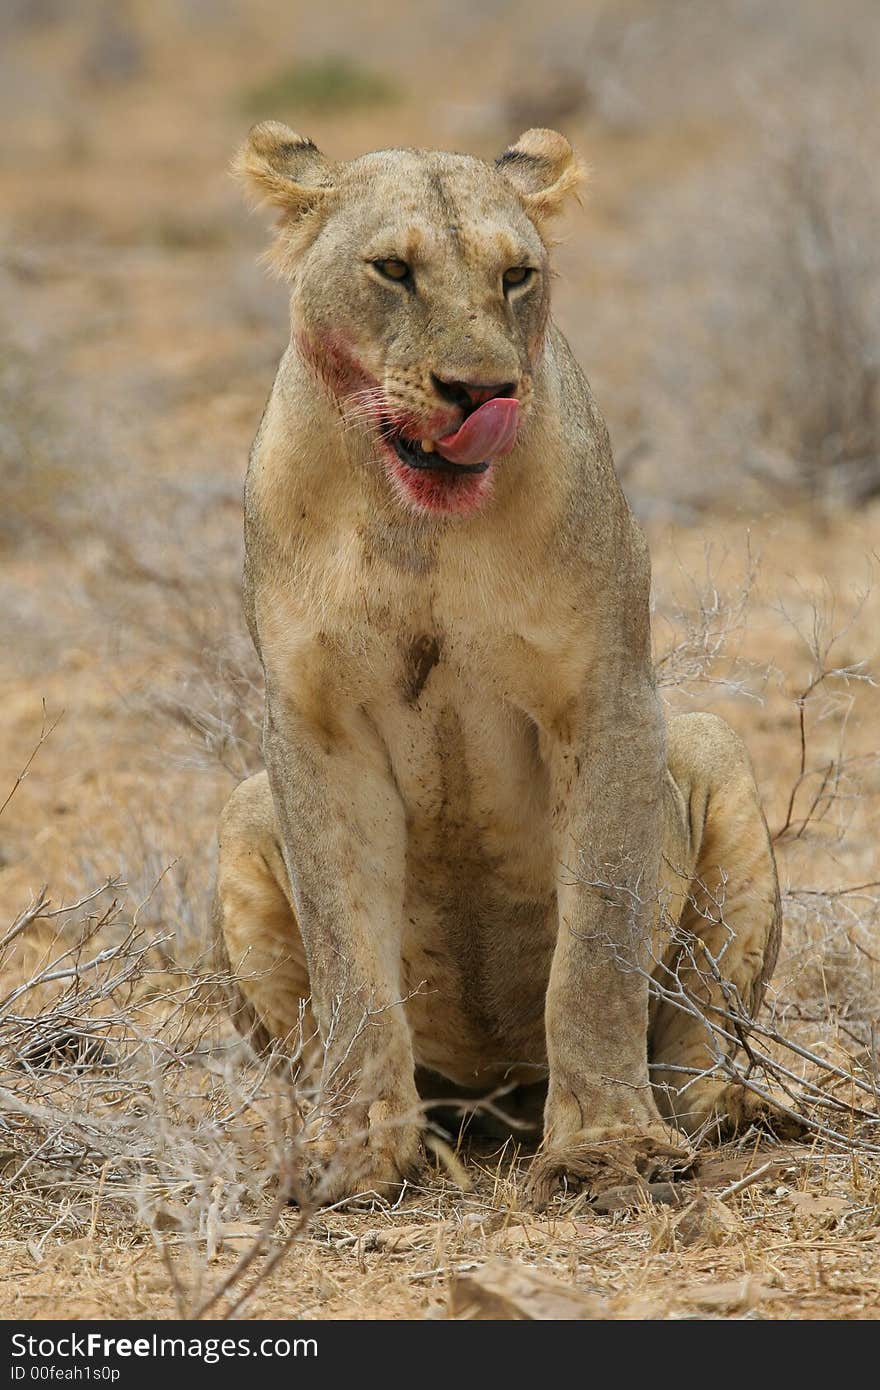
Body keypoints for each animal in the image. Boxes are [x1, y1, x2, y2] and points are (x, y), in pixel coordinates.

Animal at [212, 122, 789, 1206]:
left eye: (516, 275)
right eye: (393, 271)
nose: (479, 390)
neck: (418, 526)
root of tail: (496, 1096)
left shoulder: (607, 701)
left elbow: (596, 946)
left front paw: (609, 1143)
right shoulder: (313, 725)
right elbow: (348, 959)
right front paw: (352, 1150)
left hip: (714, 752)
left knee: (701, 1033)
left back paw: (728, 1108)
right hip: (240, 810)